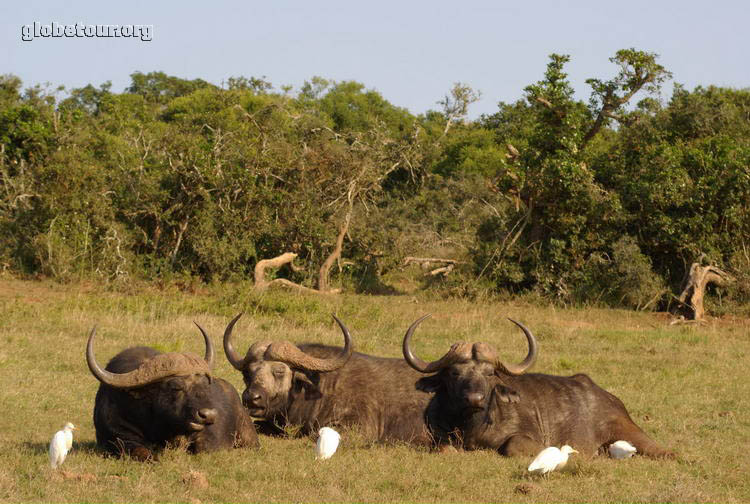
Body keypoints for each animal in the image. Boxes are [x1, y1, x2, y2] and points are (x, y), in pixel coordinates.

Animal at [406, 316, 676, 458]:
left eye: (490, 373)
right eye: (454, 373)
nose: (474, 399)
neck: (474, 426)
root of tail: (612, 399)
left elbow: (512, 446)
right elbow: (443, 448)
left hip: (632, 434)